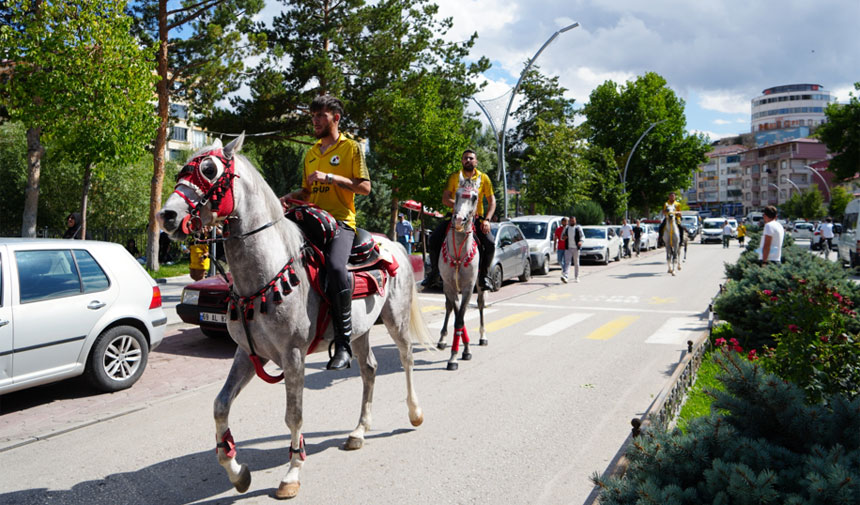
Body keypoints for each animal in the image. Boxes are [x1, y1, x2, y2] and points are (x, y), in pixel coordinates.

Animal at [156, 135, 430, 500]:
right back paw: (358, 431)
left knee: (406, 358)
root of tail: (394, 245)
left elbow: (294, 416)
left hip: (396, 320)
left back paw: (414, 413)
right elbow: (220, 405)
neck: (264, 272)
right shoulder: (248, 353)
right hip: (359, 331)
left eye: (209, 170)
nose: (167, 215)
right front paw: (236, 471)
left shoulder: (293, 355)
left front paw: (291, 474)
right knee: (369, 370)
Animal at [436, 181, 484, 370]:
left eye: (475, 197)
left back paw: (482, 336)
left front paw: (461, 353)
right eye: (456, 195)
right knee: (449, 308)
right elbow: (457, 316)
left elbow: (461, 319)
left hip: (480, 284)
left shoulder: (468, 287)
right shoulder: (449, 286)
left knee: (480, 304)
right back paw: (442, 339)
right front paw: (458, 353)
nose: (458, 219)